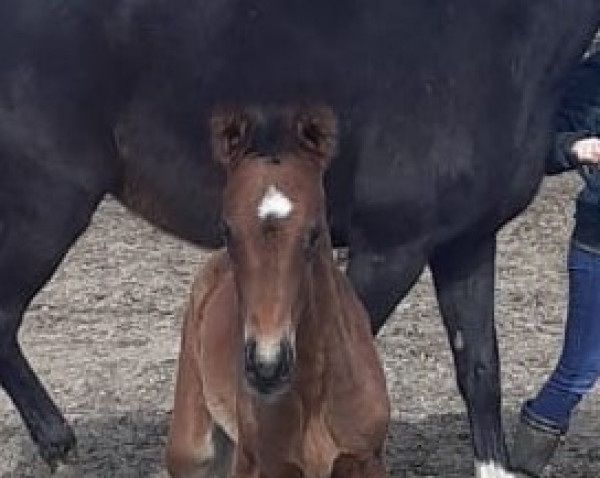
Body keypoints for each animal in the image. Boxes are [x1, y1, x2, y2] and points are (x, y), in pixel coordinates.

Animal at [166, 105, 390, 478]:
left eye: (314, 233)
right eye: (227, 231)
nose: (267, 365)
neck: (315, 391)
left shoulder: (366, 458)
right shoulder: (260, 463)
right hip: (191, 451)